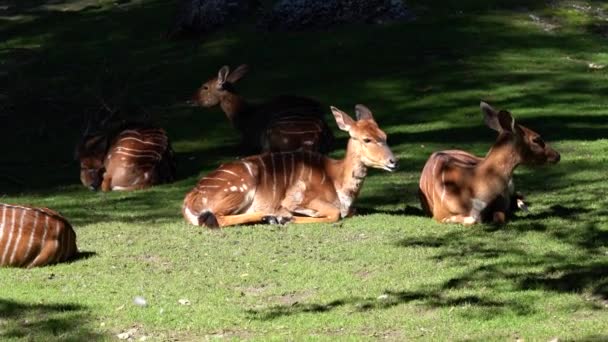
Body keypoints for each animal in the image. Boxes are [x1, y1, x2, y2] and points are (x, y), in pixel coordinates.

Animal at [183, 104, 396, 227]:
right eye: (367, 139)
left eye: (384, 135)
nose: (393, 161)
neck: (337, 181)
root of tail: (189, 198)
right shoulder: (297, 198)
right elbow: (335, 213)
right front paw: (288, 217)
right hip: (240, 188)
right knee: (217, 218)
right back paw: (271, 217)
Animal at [418, 101, 560, 224]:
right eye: (536, 139)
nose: (557, 155)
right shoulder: (440, 214)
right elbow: (472, 220)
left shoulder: (501, 199)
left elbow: (499, 217)